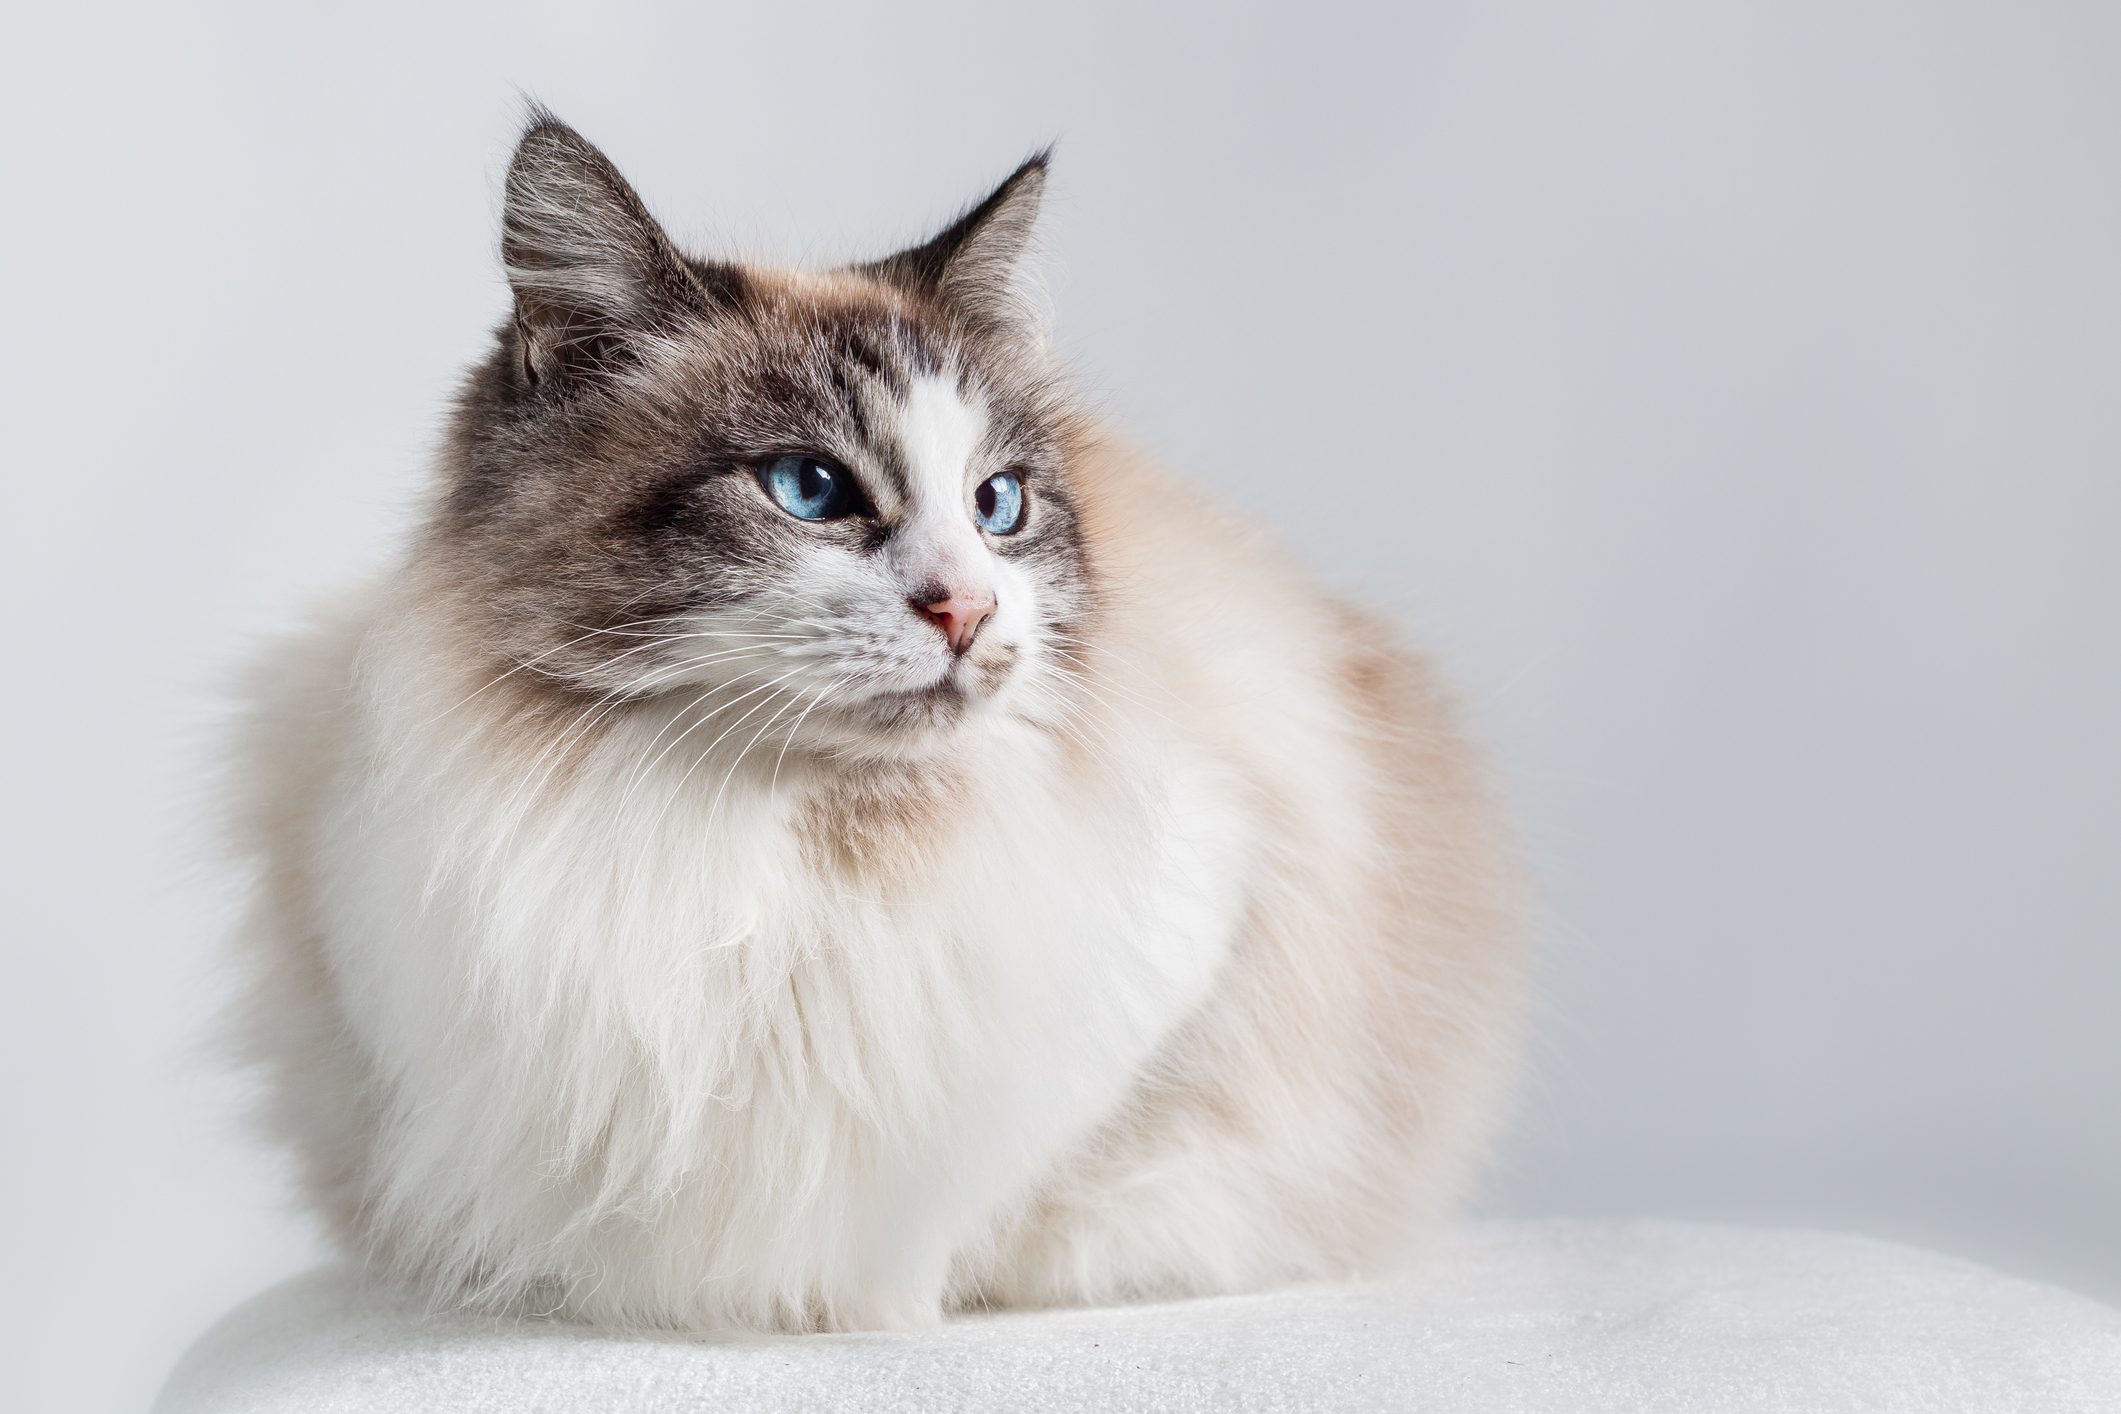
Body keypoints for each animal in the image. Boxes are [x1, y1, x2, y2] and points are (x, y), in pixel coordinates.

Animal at [228, 113, 1527, 1339]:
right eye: (809, 489)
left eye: (998, 505)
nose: (968, 608)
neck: (796, 841)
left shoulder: (1200, 926)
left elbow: (986, 1189)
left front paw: (889, 1299)